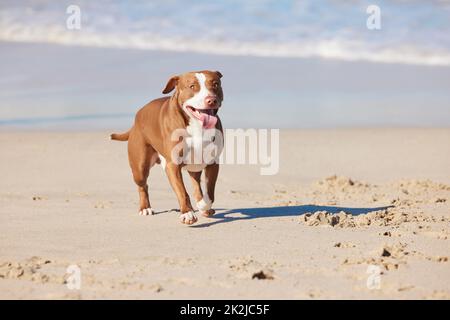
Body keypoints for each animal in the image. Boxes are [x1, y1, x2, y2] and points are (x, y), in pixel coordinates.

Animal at [110, 70, 223, 225]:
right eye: (192, 86)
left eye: (215, 84)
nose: (211, 100)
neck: (196, 125)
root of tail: (137, 117)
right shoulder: (173, 166)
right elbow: (182, 191)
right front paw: (187, 213)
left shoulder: (213, 163)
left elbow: (210, 192)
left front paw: (203, 206)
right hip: (140, 167)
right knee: (142, 185)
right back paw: (145, 208)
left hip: (194, 166)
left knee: (196, 184)